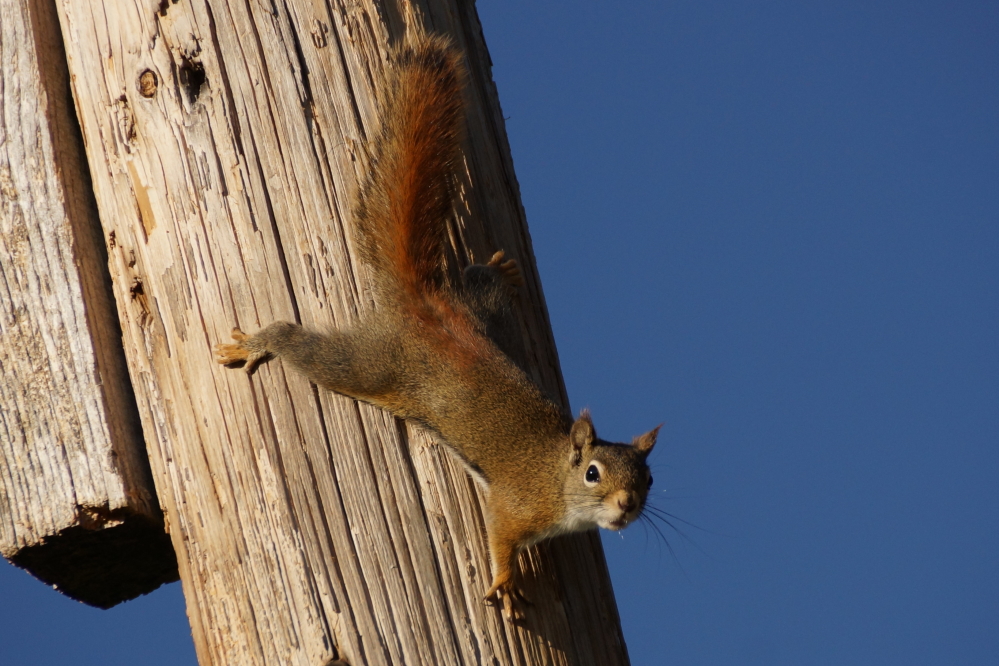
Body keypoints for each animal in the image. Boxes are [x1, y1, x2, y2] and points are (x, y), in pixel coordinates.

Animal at [215, 34, 660, 621]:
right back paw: (262, 341)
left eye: (649, 478)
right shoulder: (512, 505)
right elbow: (500, 540)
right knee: (307, 349)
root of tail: (423, 308)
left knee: (479, 281)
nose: (628, 506)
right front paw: (507, 583)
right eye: (593, 474)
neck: (554, 472)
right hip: (372, 366)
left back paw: (500, 270)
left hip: (481, 313)